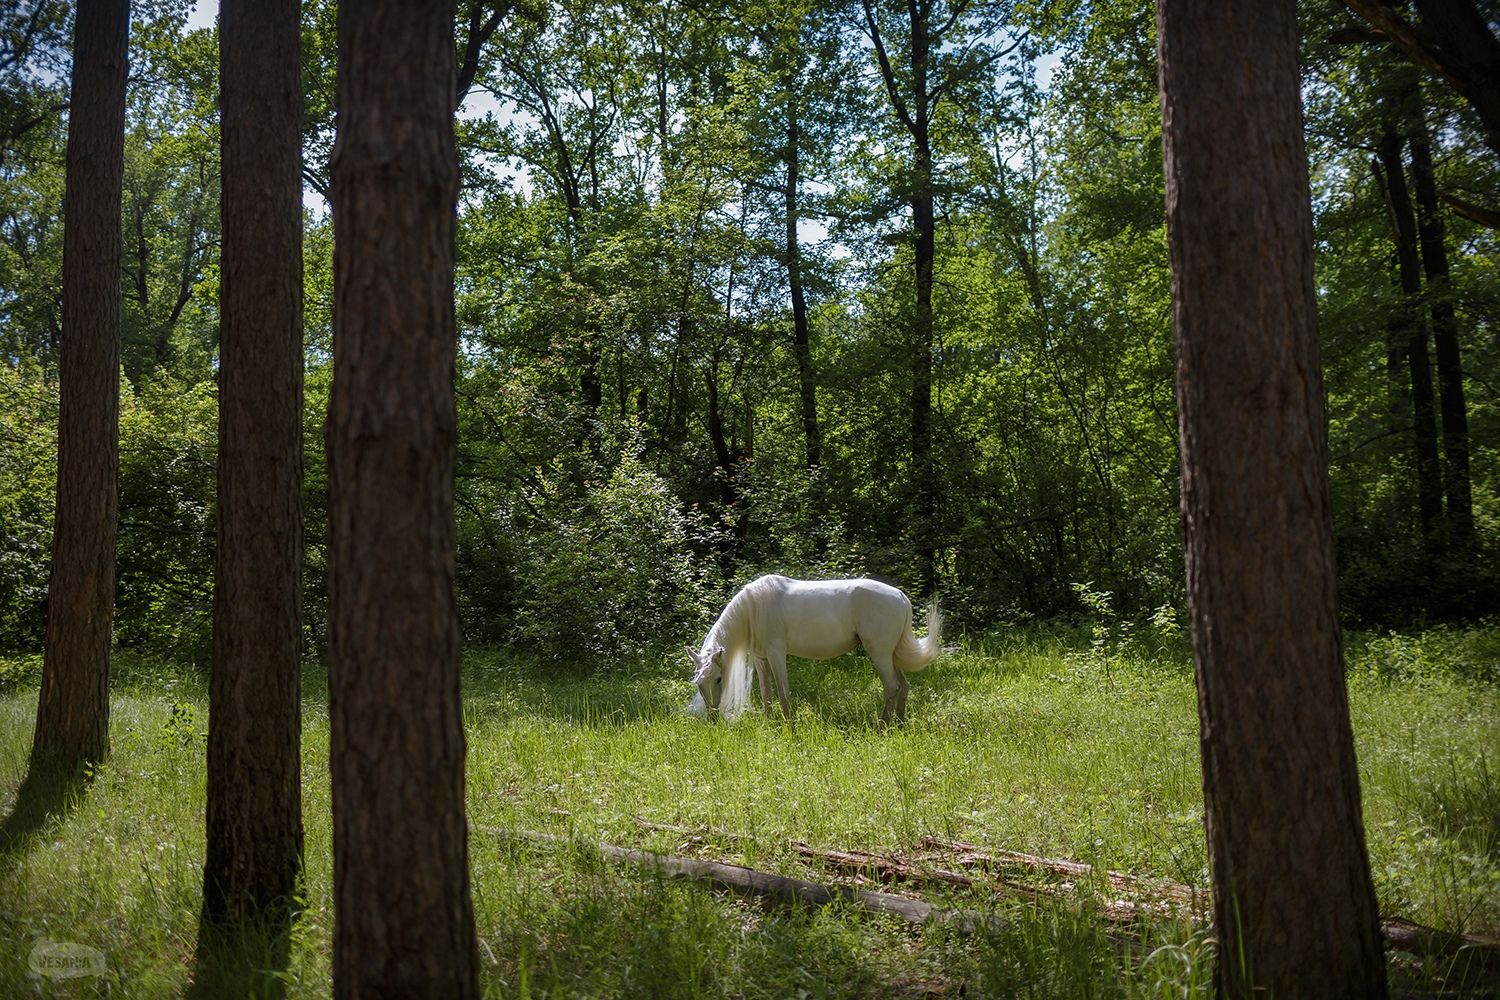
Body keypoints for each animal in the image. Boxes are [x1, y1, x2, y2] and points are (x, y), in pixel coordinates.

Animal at [687, 575, 942, 722]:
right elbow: (766, 693)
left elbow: (783, 692)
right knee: (903, 686)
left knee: (892, 687)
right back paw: (900, 723)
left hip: (879, 653)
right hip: (891, 655)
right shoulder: (761, 659)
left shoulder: (777, 654)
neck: (754, 609)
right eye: (698, 682)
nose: (712, 718)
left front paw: (789, 726)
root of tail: (900, 596)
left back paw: (883, 725)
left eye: (719, 679)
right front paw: (770, 724)